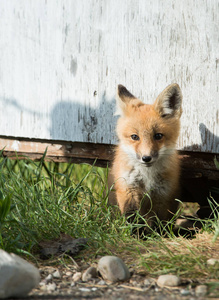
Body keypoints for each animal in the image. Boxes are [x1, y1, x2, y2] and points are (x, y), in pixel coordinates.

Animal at [109, 83, 183, 233]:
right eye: (134, 137)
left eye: (158, 136)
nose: (146, 158)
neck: (147, 175)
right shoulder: (128, 189)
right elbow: (132, 218)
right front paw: (135, 235)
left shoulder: (162, 194)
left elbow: (158, 222)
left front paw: (157, 235)